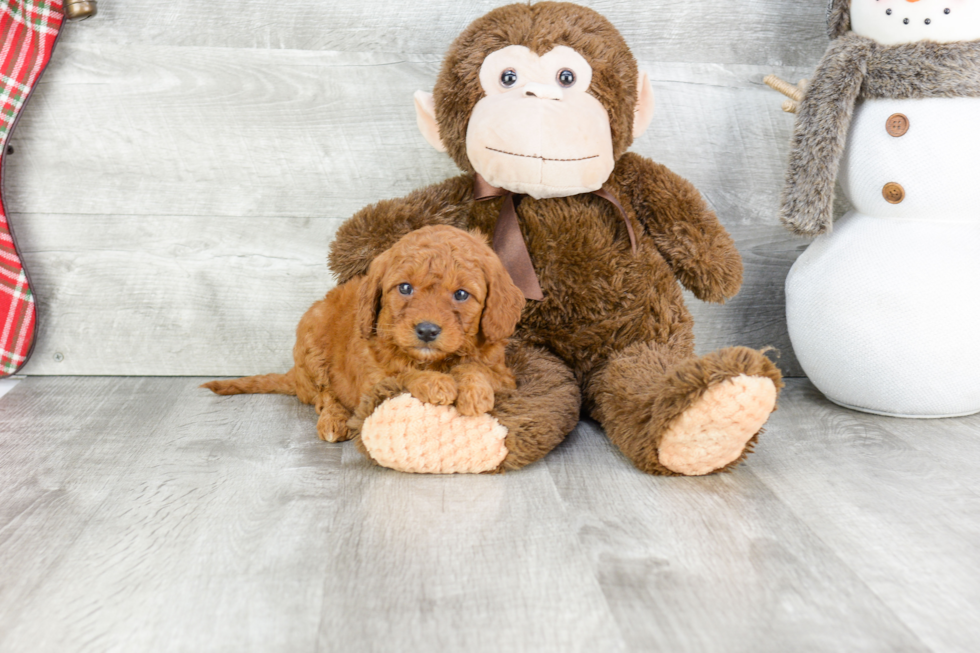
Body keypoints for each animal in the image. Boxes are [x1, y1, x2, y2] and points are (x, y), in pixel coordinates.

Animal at [202, 224, 524, 444]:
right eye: (405, 288)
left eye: (461, 294)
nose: (427, 330)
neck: (432, 360)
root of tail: (295, 375)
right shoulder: (372, 383)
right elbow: (402, 375)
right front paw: (434, 382)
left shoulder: (504, 375)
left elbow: (476, 367)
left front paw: (473, 391)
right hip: (311, 339)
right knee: (323, 396)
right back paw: (333, 421)